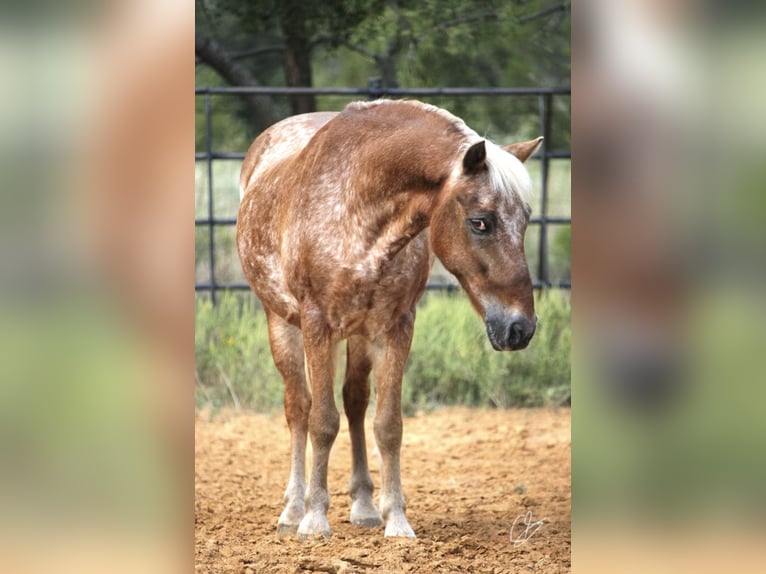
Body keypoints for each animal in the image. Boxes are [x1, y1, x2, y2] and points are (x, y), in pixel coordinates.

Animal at [237, 99, 542, 539]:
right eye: (480, 221)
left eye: (526, 219)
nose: (521, 328)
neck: (356, 204)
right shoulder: (316, 324)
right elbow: (321, 421)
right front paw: (314, 520)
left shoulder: (395, 326)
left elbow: (388, 424)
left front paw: (396, 519)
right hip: (281, 322)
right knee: (298, 407)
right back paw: (293, 509)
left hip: (359, 336)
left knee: (355, 401)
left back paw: (364, 505)